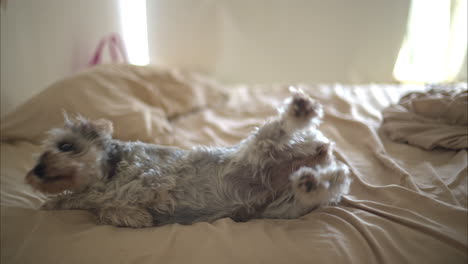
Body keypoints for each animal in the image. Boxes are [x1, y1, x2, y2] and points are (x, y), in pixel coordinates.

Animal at [23, 88, 350, 227]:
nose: (35, 170)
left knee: (282, 128)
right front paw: (135, 217)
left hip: (263, 145)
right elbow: (104, 209)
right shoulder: (92, 200)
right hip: (286, 206)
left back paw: (300, 110)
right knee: (328, 185)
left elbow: (140, 186)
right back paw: (313, 181)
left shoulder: (149, 173)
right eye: (38, 156)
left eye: (66, 146)